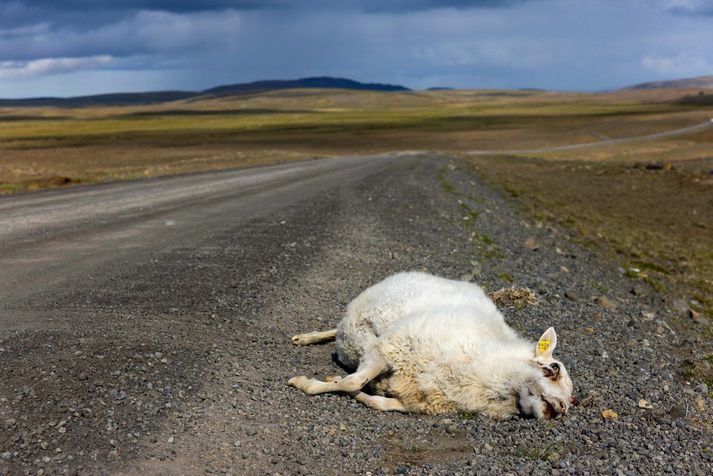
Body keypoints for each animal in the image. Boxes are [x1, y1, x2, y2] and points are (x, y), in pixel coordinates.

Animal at [288, 272, 572, 420]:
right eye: (554, 368)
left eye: (574, 400)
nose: (561, 409)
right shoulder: (388, 349)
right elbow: (351, 382)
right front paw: (305, 383)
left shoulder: (415, 401)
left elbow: (376, 402)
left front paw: (347, 388)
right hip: (359, 328)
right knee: (339, 331)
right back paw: (306, 338)